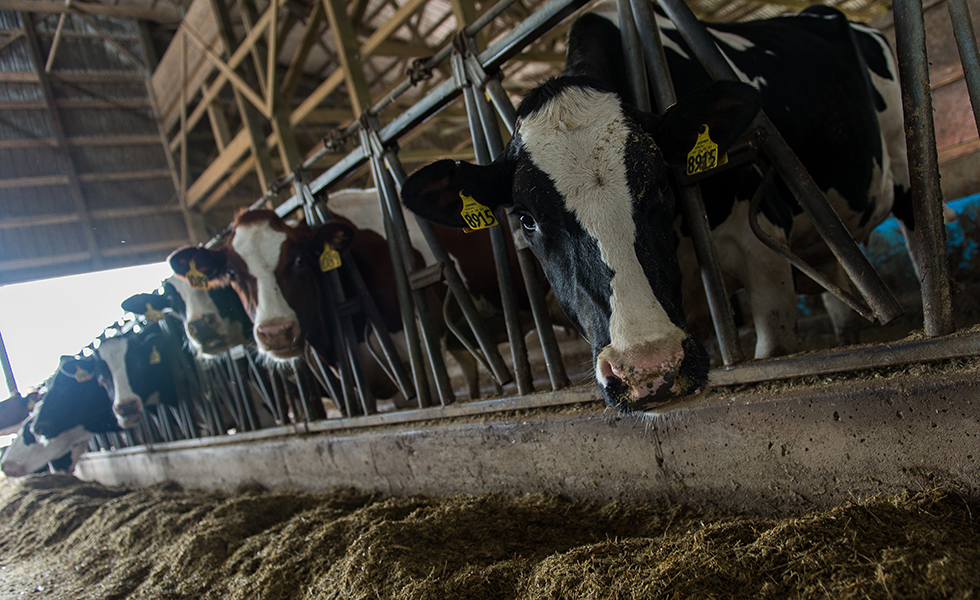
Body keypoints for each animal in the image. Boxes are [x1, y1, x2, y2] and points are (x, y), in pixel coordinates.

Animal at [402, 0, 924, 412]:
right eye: (526, 219)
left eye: (659, 185)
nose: (648, 371)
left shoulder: (761, 247)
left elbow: (771, 347)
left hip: (904, 168)